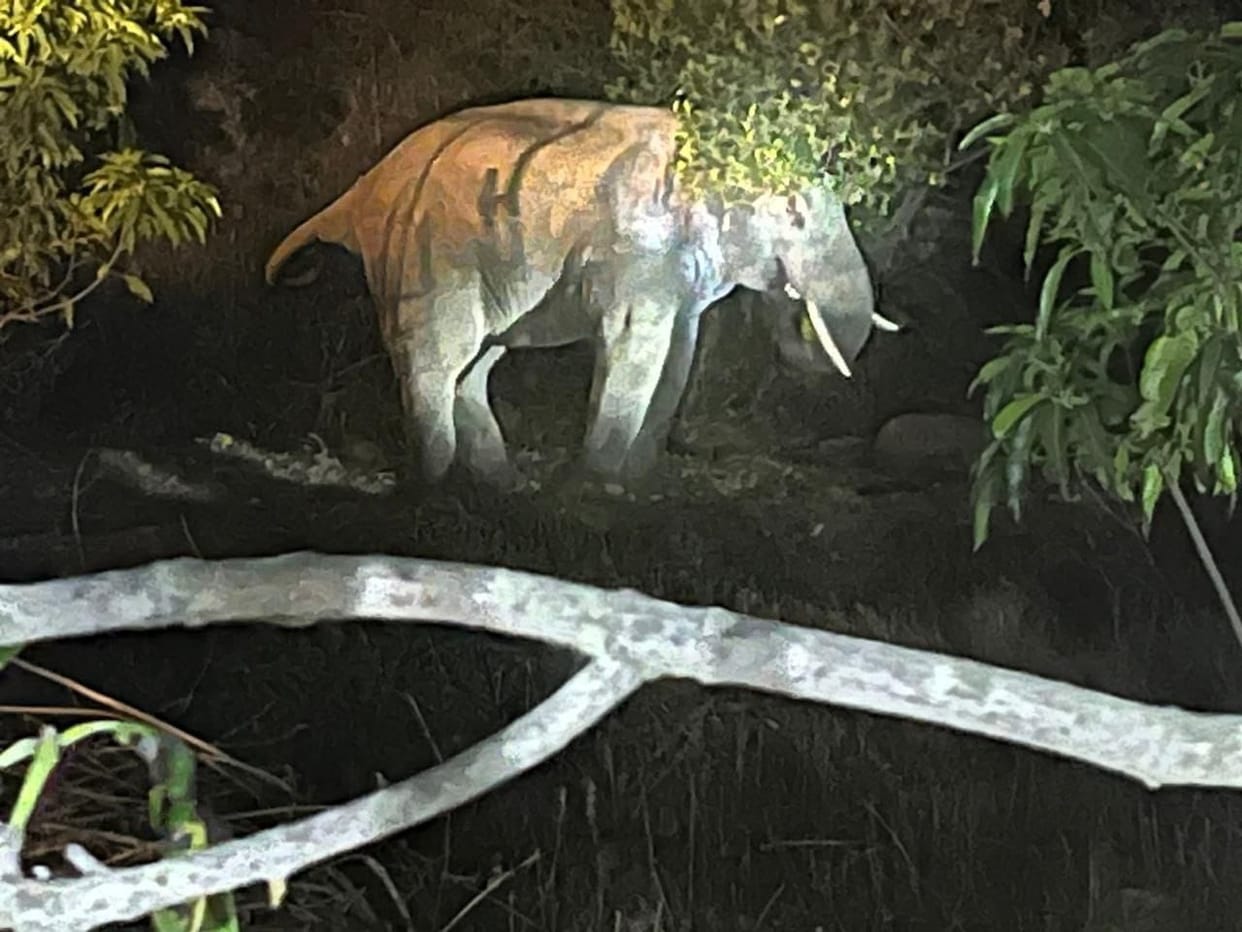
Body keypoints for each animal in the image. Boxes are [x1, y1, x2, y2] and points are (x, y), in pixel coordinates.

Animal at [265, 97, 897, 488]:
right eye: (794, 215)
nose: (795, 305)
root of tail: (361, 188)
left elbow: (680, 353)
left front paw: (636, 488)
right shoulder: (637, 251)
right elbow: (637, 346)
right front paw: (594, 487)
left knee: (476, 361)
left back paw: (497, 486)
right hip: (427, 252)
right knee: (438, 358)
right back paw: (433, 486)